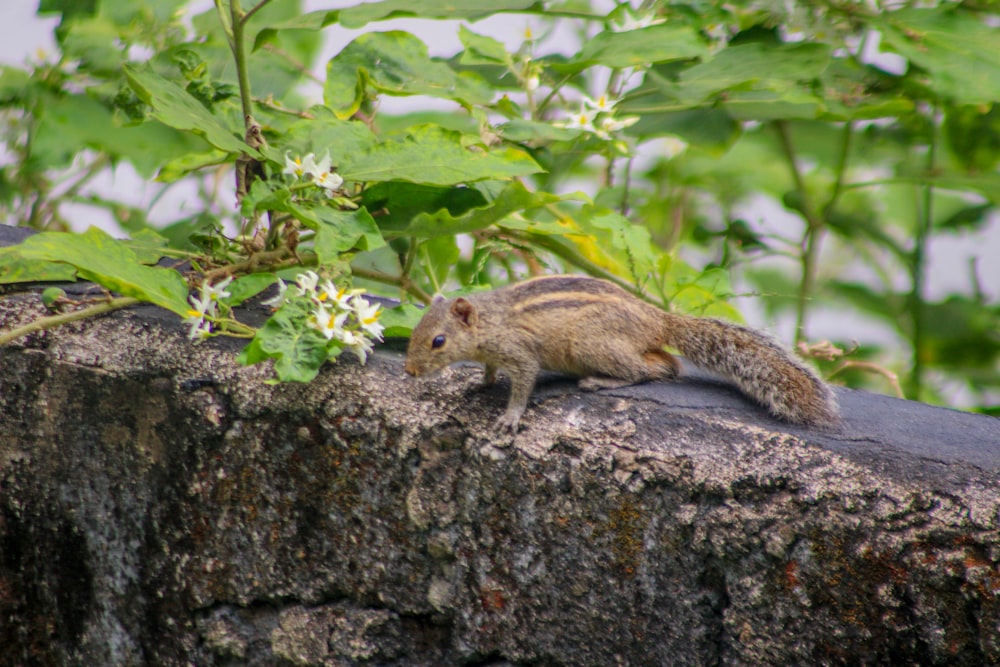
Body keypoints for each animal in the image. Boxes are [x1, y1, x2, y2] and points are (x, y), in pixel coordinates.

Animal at [402, 276, 840, 434]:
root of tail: (658, 318)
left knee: (649, 369)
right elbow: (490, 371)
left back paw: (601, 381)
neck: (489, 320)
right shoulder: (493, 353)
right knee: (667, 364)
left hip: (590, 343)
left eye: (438, 341)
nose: (409, 371)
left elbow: (523, 381)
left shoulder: (520, 351)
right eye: (417, 328)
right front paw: (479, 385)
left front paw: (509, 417)